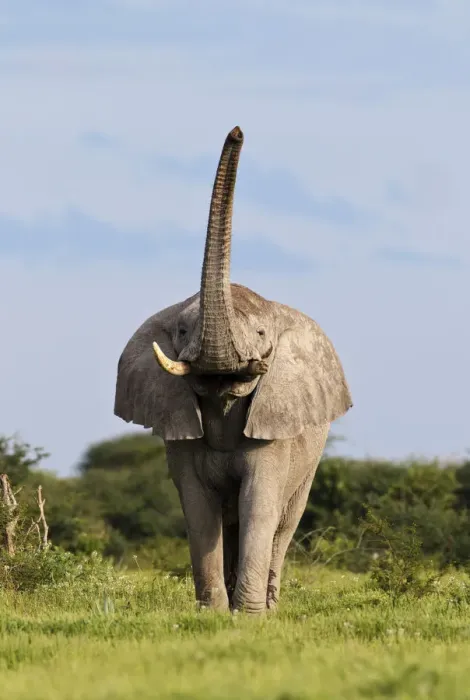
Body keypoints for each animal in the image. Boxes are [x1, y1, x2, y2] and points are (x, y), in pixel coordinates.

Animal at [114, 126, 352, 613]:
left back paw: (271, 604)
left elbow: (259, 502)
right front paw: (214, 613)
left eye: (262, 334)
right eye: (182, 329)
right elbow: (198, 507)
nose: (237, 131)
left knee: (283, 522)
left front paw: (250, 616)